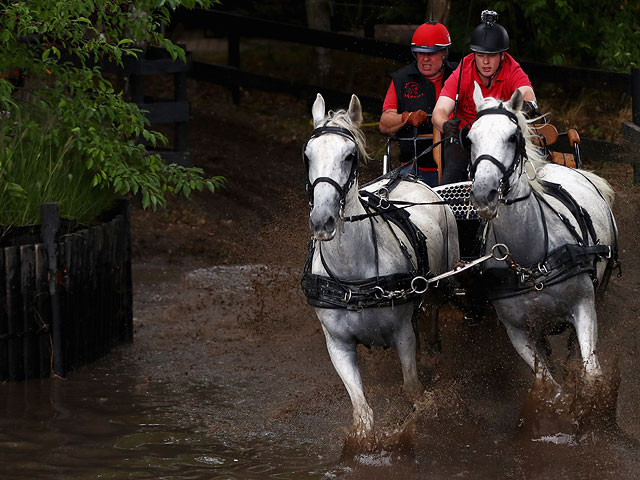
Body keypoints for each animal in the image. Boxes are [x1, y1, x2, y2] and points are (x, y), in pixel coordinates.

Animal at [302, 92, 460, 440]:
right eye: (307, 155)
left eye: (349, 156)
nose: (322, 220)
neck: (352, 280)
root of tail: (408, 177)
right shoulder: (338, 344)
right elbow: (361, 411)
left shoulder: (402, 334)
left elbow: (413, 390)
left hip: (445, 275)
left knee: (435, 306)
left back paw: (434, 345)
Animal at [464, 83, 620, 398]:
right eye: (470, 138)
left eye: (512, 137)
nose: (484, 194)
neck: (531, 264)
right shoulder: (517, 331)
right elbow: (550, 387)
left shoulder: (584, 306)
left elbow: (591, 374)